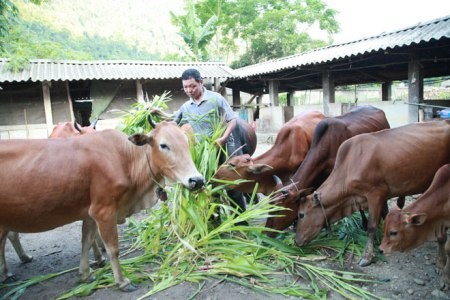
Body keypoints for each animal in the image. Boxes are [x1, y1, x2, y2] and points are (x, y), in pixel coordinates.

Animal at [0, 119, 204, 290]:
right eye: (163, 145)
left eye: (186, 142)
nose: (197, 180)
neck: (125, 160)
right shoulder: (104, 211)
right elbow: (113, 248)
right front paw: (122, 281)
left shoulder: (90, 213)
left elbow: (86, 241)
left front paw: (85, 274)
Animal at [296, 120, 450, 268]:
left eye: (301, 214)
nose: (296, 241)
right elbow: (385, 215)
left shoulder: (375, 193)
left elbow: (371, 226)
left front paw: (367, 256)